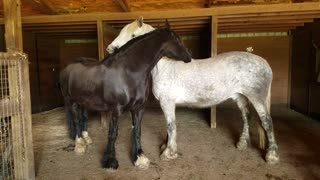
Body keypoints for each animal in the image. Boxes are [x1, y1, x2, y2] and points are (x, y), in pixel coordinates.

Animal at [58, 21, 191, 170]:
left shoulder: (138, 108)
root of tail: (67, 68)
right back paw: (79, 144)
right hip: (70, 101)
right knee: (74, 119)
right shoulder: (116, 109)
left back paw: (86, 139)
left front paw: (139, 158)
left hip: (83, 101)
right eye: (177, 40)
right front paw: (110, 161)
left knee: (83, 117)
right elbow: (113, 133)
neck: (128, 73)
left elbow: (137, 132)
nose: (189, 56)